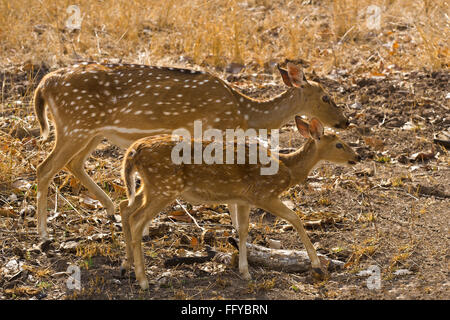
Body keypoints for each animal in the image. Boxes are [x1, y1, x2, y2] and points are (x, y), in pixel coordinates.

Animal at [33, 61, 348, 239]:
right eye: (326, 97)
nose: (345, 121)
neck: (245, 114)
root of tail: (44, 84)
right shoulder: (213, 133)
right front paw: (236, 231)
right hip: (77, 124)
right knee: (44, 168)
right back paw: (44, 233)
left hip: (91, 131)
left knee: (73, 164)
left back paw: (111, 211)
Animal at [118, 117, 358, 290]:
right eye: (339, 144)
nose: (358, 157)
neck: (287, 169)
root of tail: (133, 150)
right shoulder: (264, 194)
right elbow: (295, 218)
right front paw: (316, 264)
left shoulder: (243, 199)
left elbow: (242, 230)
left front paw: (244, 271)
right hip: (164, 187)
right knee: (137, 219)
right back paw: (143, 281)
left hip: (150, 186)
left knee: (124, 207)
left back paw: (125, 266)